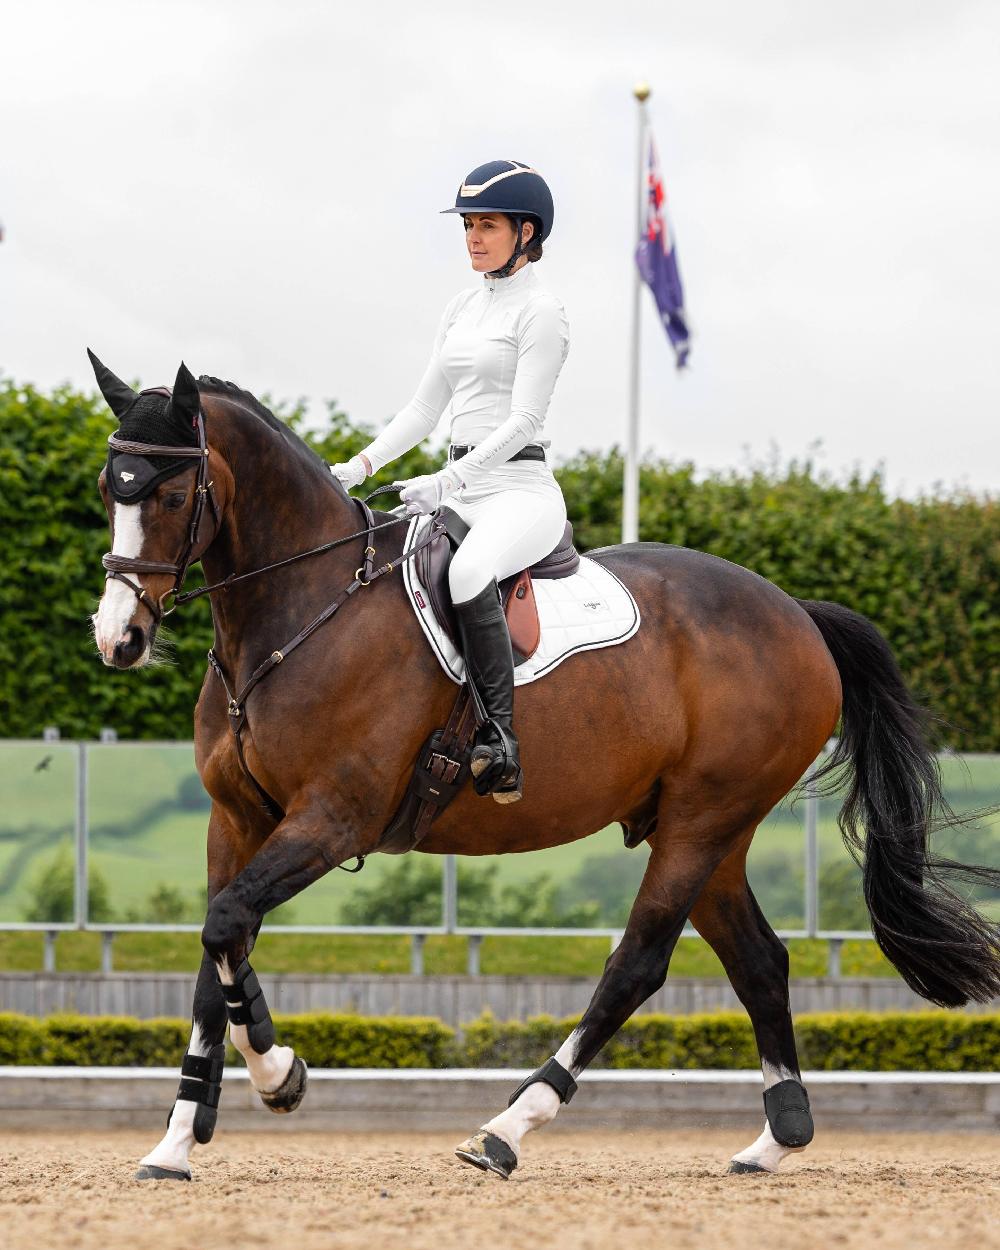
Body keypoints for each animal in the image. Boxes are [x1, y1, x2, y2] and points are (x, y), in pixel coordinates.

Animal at [90, 360, 995, 1180]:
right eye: (108, 490)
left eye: (170, 495)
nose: (118, 638)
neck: (302, 606)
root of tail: (797, 614)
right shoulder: (236, 821)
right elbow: (217, 951)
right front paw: (178, 1140)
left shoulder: (332, 819)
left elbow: (225, 928)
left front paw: (281, 1076)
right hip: (710, 832)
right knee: (761, 962)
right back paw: (778, 1138)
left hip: (702, 821)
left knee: (637, 965)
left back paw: (507, 1129)